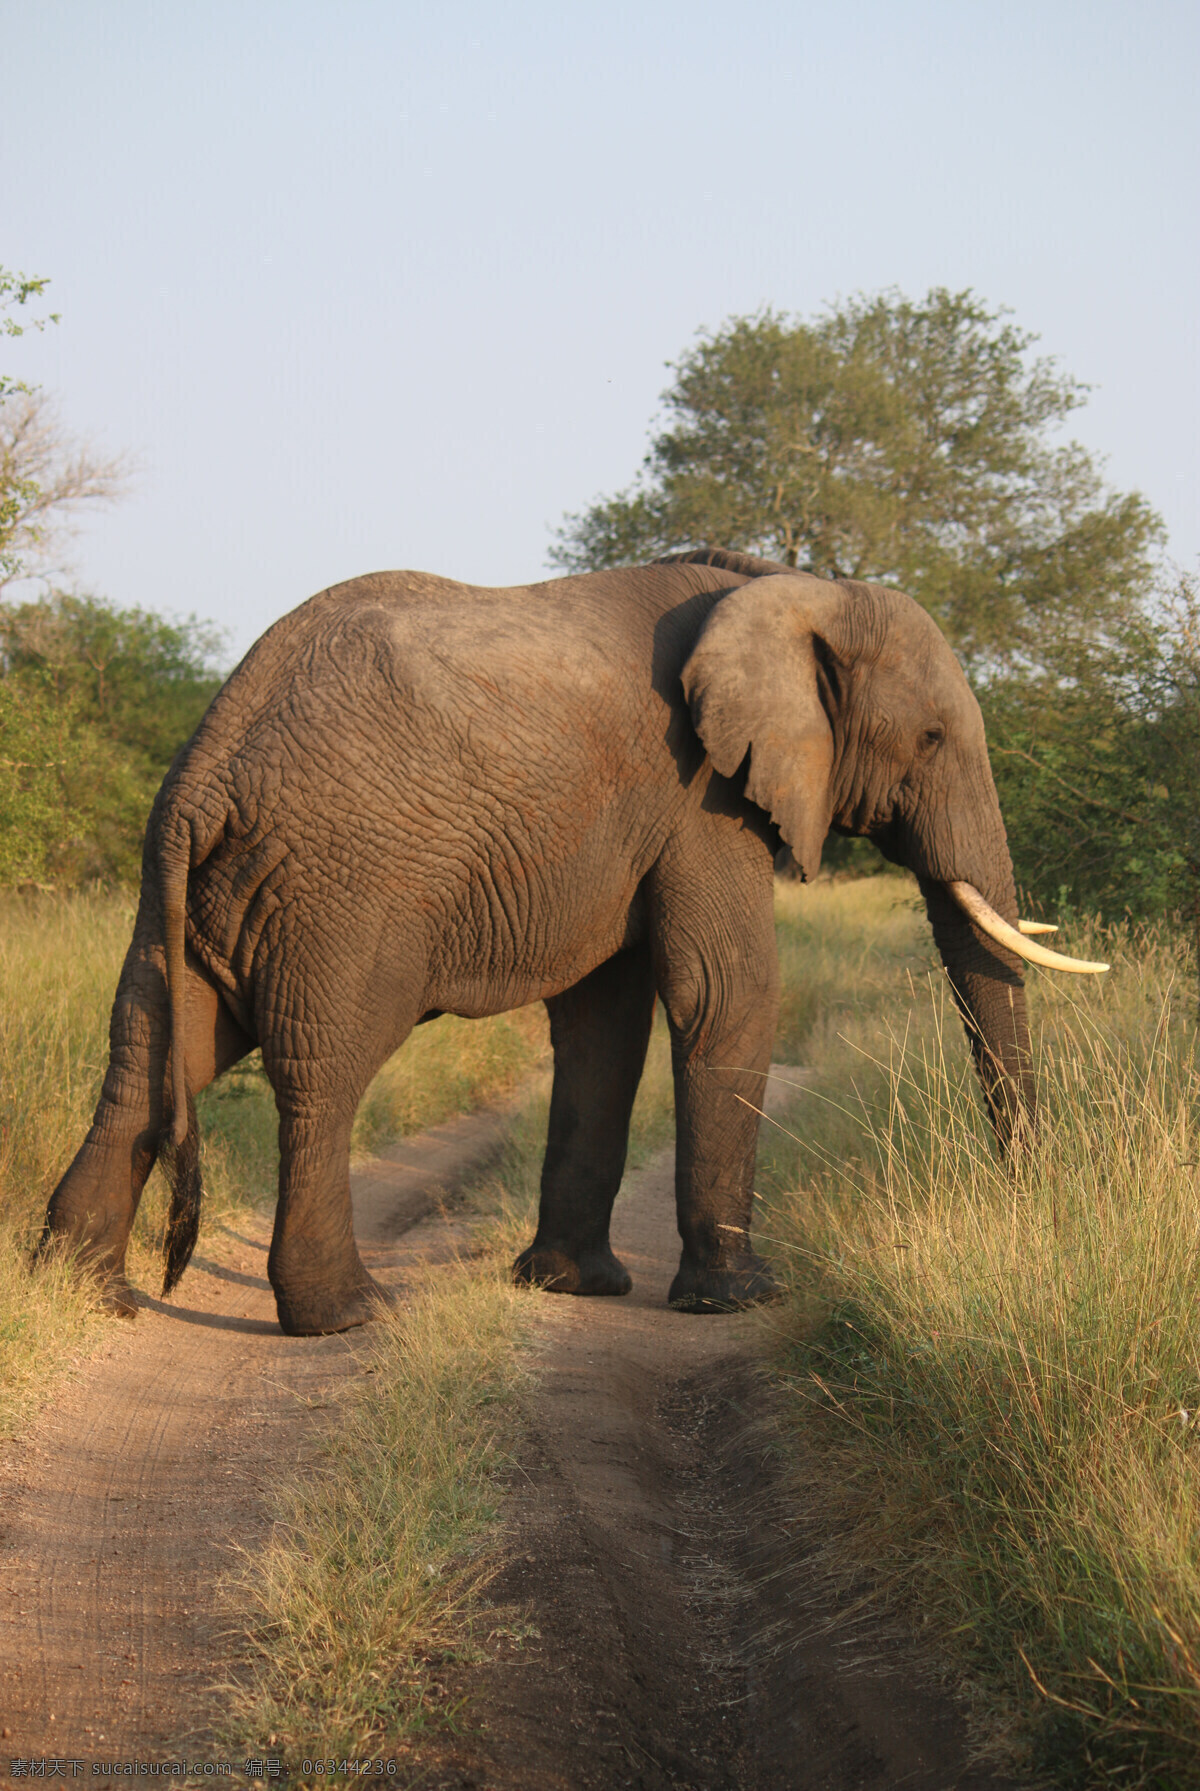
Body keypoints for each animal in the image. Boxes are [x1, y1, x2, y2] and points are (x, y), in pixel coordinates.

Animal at [37, 544, 1110, 1332]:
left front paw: (570, 1285)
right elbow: (726, 988)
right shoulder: (699, 794)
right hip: (342, 885)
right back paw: (347, 1315)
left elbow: (607, 1020)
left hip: (198, 895)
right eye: (930, 740)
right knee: (323, 1072)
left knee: (148, 1057)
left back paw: (90, 1295)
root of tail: (206, 765)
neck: (784, 585)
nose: (1030, 1205)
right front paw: (740, 1298)